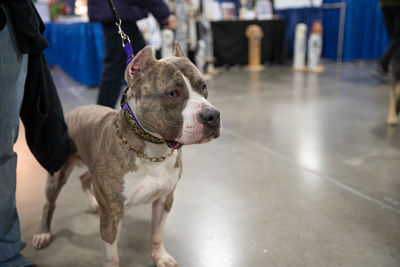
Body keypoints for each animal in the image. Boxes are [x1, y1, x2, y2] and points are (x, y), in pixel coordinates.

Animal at [32, 43, 220, 266]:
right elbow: (112, 256)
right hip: (58, 171)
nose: (212, 115)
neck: (153, 152)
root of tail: (73, 112)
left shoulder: (164, 200)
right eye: (172, 93)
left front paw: (160, 256)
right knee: (48, 204)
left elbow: (156, 234)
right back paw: (43, 233)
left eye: (203, 87)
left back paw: (92, 203)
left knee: (84, 178)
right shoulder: (112, 214)